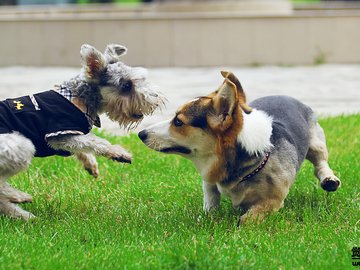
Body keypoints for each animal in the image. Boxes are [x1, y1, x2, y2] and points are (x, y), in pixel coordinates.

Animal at [0, 42, 165, 219]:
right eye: (126, 85)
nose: (156, 99)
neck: (80, 96)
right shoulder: (61, 134)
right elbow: (96, 141)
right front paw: (119, 153)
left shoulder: (70, 137)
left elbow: (84, 146)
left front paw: (91, 165)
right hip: (21, 146)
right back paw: (18, 196)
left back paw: (23, 215)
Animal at [139, 71, 342, 224]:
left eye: (178, 122)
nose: (141, 134)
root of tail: (286, 96)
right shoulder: (209, 179)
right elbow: (210, 199)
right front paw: (208, 216)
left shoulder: (273, 200)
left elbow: (248, 218)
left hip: (316, 143)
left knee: (320, 163)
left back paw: (329, 179)